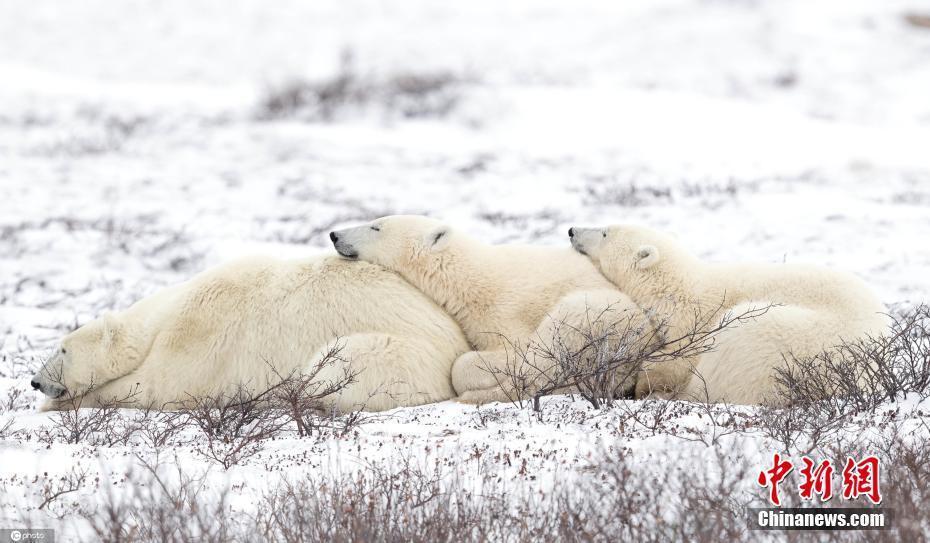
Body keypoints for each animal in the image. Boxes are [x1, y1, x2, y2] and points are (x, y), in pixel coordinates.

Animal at [31, 255, 468, 412]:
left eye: (62, 350)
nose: (35, 381)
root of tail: (458, 344)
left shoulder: (200, 334)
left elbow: (157, 386)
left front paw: (54, 405)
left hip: (396, 352)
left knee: (334, 369)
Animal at [330, 214, 648, 404]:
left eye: (376, 226)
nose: (334, 235)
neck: (472, 280)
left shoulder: (507, 311)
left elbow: (514, 356)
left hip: (599, 317)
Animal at [568, 223, 888, 406]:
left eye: (605, 232)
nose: (571, 231)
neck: (676, 289)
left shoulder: (691, 322)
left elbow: (674, 362)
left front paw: (647, 384)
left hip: (779, 340)